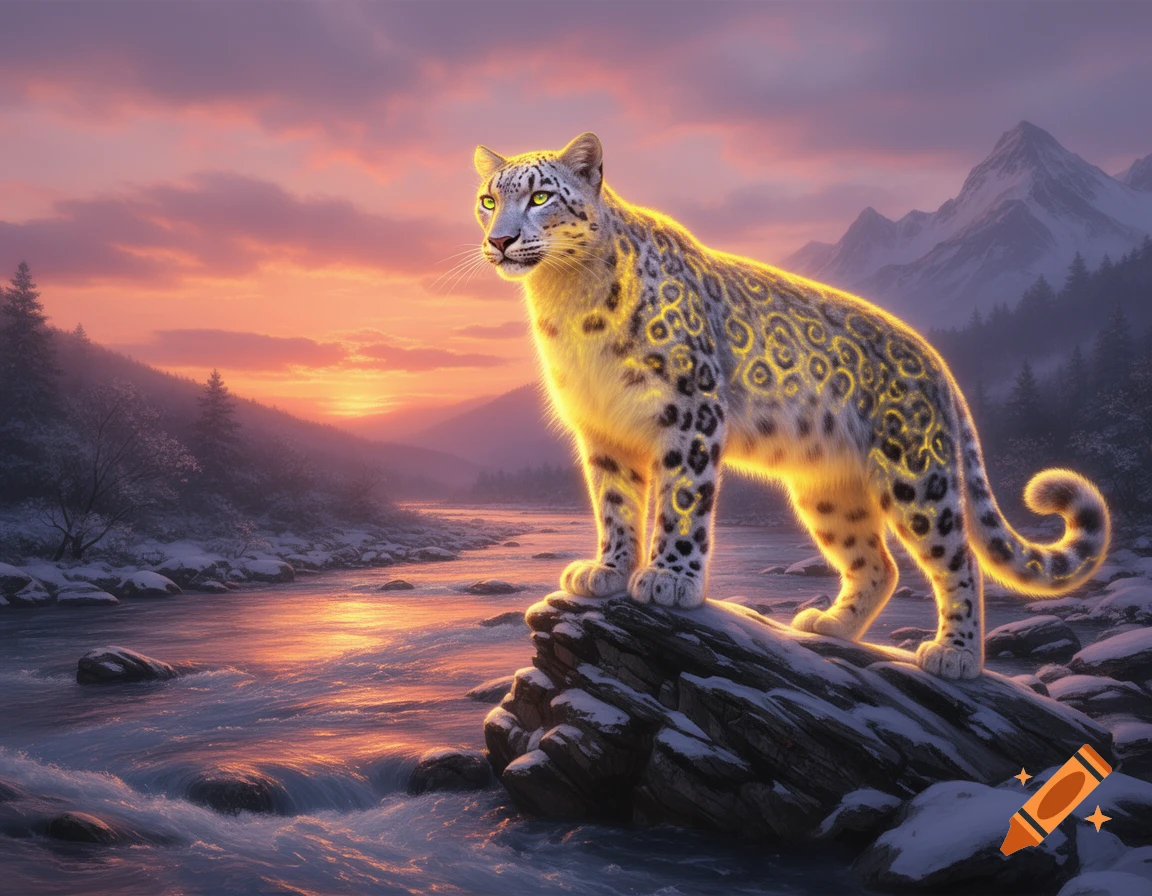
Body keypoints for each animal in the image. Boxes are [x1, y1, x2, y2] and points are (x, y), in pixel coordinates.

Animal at [472, 132, 1111, 680]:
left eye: (540, 196)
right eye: (488, 199)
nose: (500, 240)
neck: (568, 302)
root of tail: (937, 363)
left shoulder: (691, 407)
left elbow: (681, 497)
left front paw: (669, 580)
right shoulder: (603, 429)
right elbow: (615, 505)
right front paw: (606, 571)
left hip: (917, 475)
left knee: (956, 558)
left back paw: (954, 656)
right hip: (828, 491)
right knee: (878, 563)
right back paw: (829, 625)